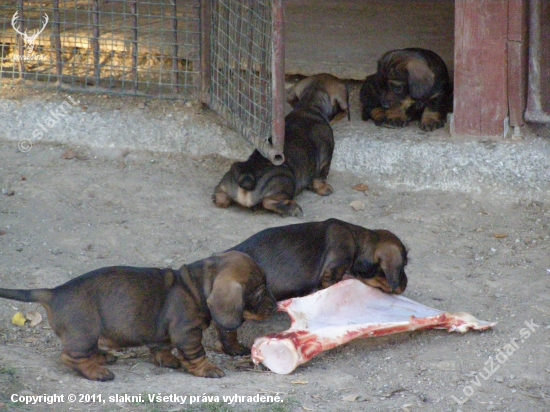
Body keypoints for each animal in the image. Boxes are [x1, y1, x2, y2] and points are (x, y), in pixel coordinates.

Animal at [0, 253, 276, 382]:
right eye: (260, 293)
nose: (275, 305)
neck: (195, 287)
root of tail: (54, 291)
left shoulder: (162, 335)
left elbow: (162, 348)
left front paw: (168, 360)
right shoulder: (187, 333)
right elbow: (197, 355)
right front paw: (207, 369)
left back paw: (102, 357)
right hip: (84, 333)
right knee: (71, 357)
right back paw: (96, 371)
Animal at [213, 73, 352, 217]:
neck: (309, 106)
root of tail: (247, 177)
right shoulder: (326, 160)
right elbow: (321, 178)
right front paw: (325, 189)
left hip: (229, 178)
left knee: (220, 194)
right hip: (287, 179)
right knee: (269, 202)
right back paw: (292, 208)